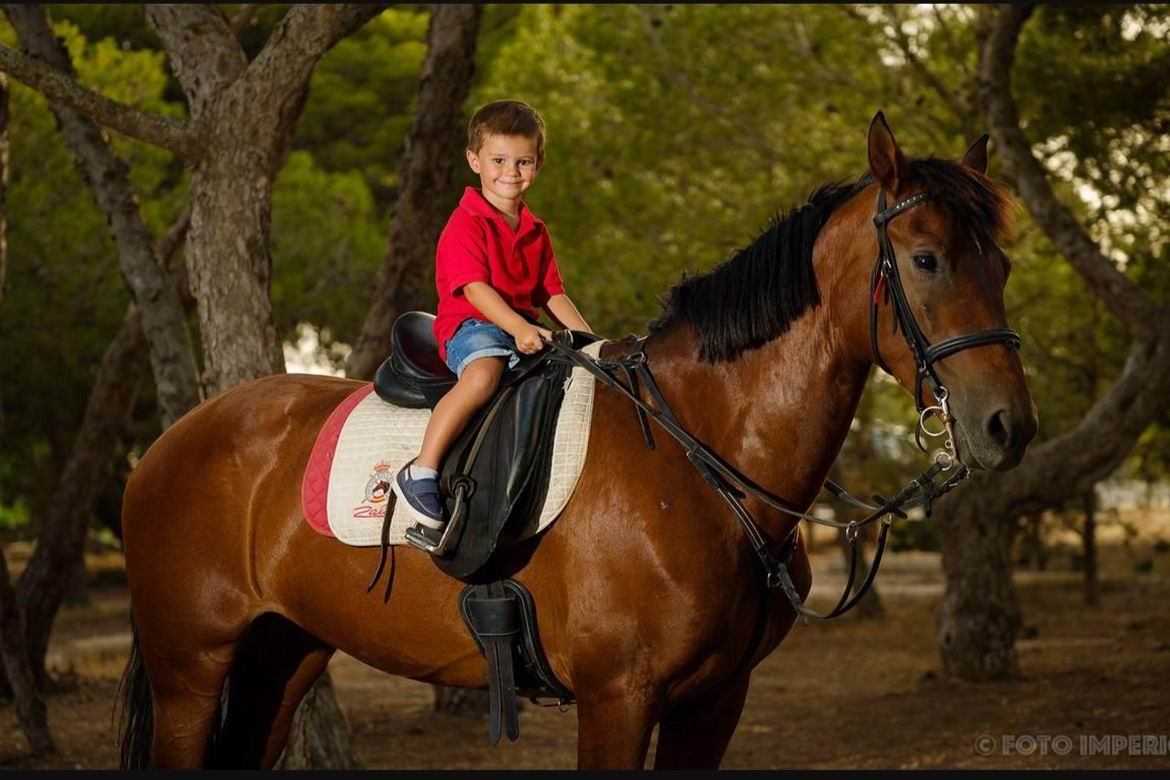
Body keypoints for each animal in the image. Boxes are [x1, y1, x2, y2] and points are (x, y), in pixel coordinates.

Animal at [116, 115, 1034, 767]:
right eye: (925, 259)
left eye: (1002, 266)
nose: (1009, 426)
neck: (699, 458)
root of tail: (170, 441)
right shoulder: (619, 698)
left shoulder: (713, 703)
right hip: (190, 667)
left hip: (286, 651)